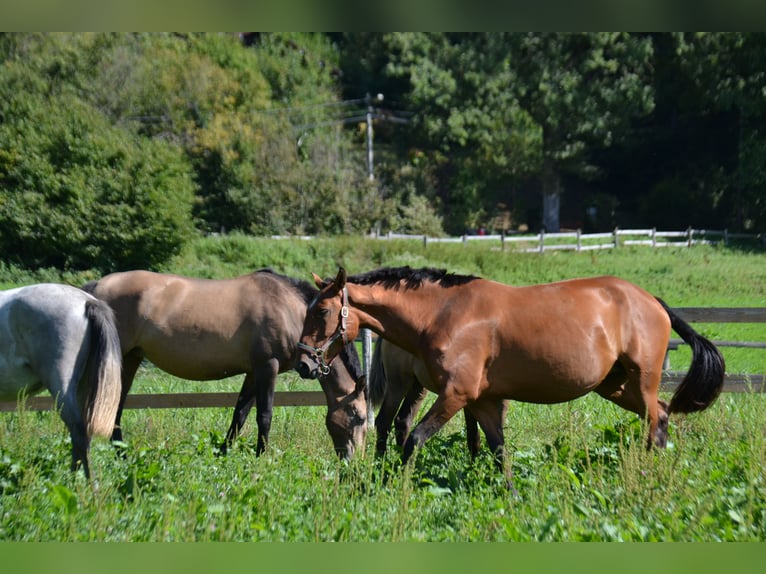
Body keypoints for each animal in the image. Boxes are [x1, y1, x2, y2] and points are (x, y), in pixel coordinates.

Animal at [82, 268, 370, 460]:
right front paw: (261, 456)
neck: (290, 310)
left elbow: (239, 414)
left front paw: (223, 453)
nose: (352, 459)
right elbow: (264, 415)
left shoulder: (253, 372)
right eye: (359, 416)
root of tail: (95, 288)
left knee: (115, 404)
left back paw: (120, 454)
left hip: (130, 358)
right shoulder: (268, 367)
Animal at [370, 340, 510, 462]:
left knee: (402, 420)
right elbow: (477, 433)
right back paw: (380, 462)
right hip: (398, 383)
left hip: (417, 386)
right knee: (383, 421)